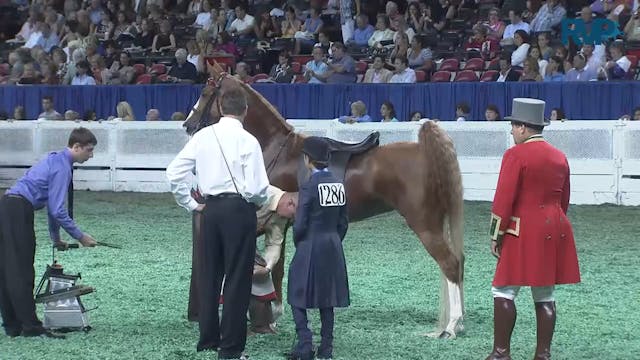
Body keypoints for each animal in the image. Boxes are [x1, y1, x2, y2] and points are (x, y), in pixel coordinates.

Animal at [182, 61, 462, 338]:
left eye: (205, 93)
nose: (187, 125)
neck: (280, 152)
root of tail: (424, 151)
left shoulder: (278, 220)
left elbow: (277, 267)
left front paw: (275, 315)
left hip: (424, 224)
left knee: (450, 264)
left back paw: (451, 326)